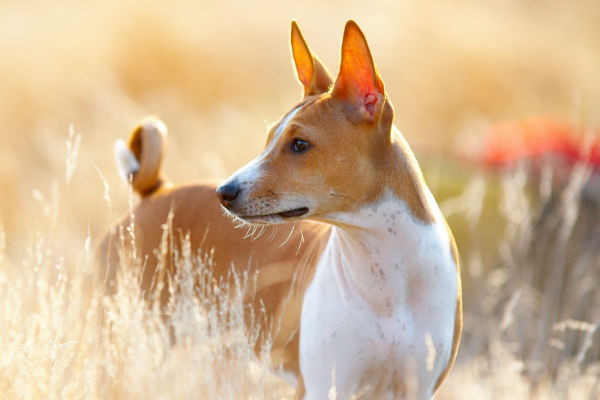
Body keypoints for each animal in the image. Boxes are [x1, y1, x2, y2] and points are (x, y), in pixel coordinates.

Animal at [97, 19, 460, 400]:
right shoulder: (322, 386)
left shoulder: (415, 387)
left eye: (299, 144)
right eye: (270, 137)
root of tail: (157, 191)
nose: (223, 192)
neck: (388, 277)